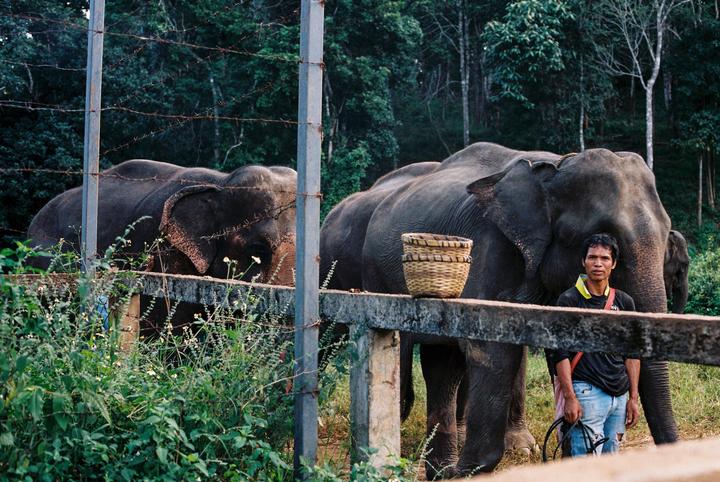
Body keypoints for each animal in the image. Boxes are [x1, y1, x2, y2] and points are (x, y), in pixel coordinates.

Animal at [346, 142, 678, 477]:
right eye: (604, 235)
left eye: (668, 234)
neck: (558, 165)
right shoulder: (490, 247)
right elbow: (491, 349)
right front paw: (474, 469)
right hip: (377, 274)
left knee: (442, 363)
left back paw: (441, 471)